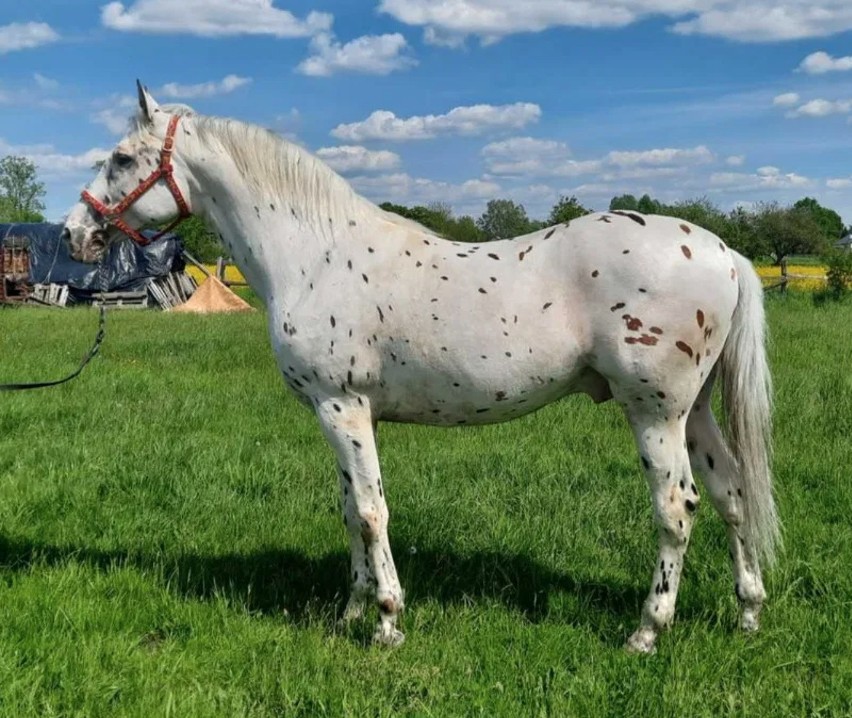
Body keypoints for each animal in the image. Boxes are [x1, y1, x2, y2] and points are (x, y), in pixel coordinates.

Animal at [61, 81, 780, 656]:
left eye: (121, 158)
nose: (74, 233)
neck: (313, 253)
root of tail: (722, 252)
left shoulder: (342, 406)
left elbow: (372, 511)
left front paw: (387, 622)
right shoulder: (341, 415)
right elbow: (350, 510)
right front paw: (348, 614)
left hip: (655, 412)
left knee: (677, 507)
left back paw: (646, 632)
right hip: (695, 411)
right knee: (732, 494)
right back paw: (747, 614)